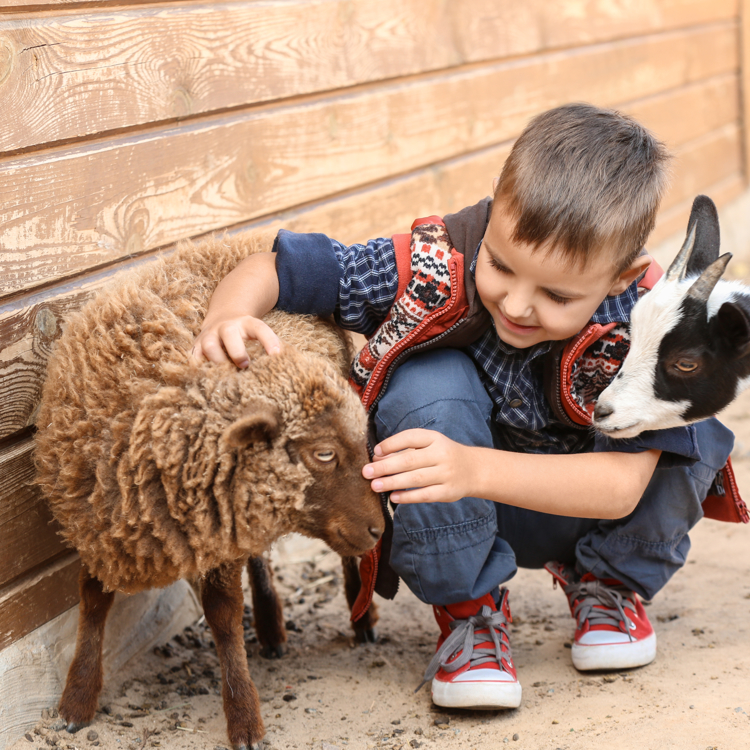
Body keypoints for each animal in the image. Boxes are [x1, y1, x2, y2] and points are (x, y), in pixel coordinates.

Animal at [33, 232, 388, 748]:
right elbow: (93, 601)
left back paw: (360, 620)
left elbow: (222, 615)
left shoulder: (211, 526)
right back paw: (272, 628)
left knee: (338, 558)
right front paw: (76, 701)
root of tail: (247, 237)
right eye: (323, 454)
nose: (381, 529)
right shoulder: (100, 520)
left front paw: (244, 719)